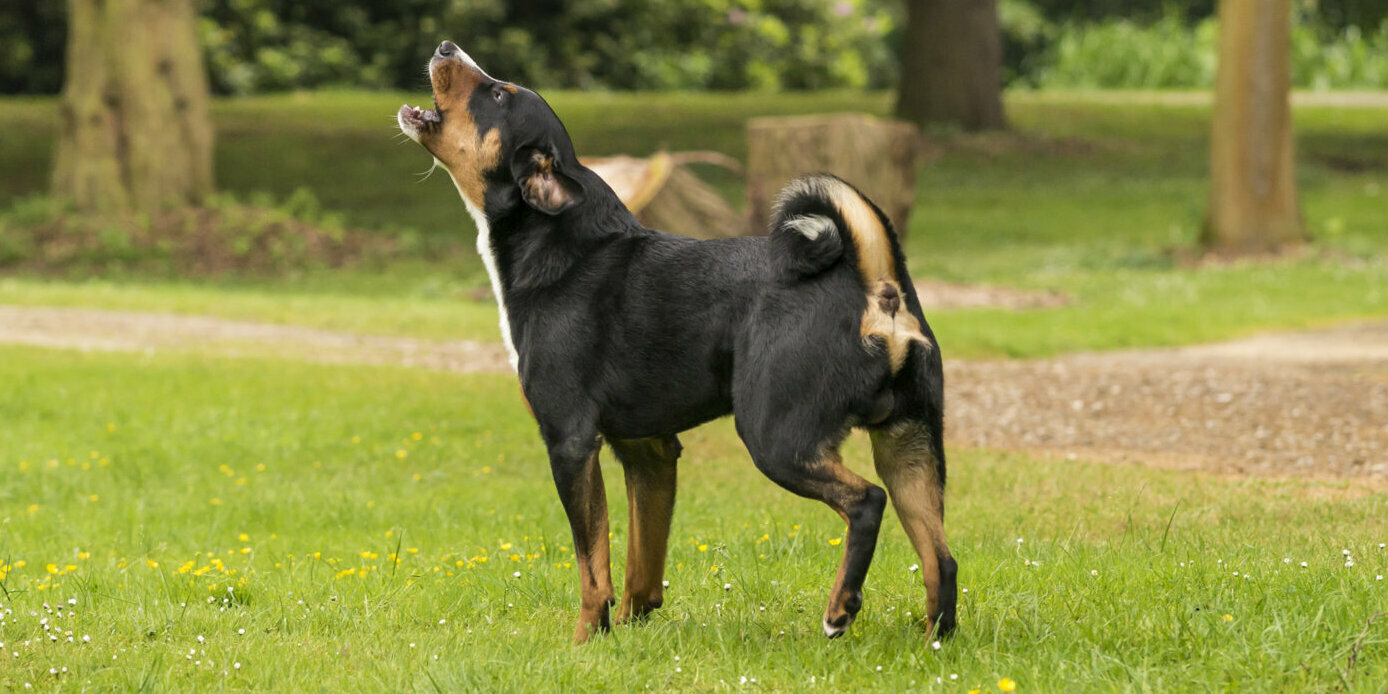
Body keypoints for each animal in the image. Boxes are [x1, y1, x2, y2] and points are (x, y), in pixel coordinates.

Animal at [394, 40, 954, 641]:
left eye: (498, 94)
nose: (446, 47)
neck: (562, 249)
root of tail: (875, 286)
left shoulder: (571, 442)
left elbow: (593, 566)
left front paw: (585, 640)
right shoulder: (649, 450)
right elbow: (642, 563)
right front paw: (630, 630)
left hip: (778, 439)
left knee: (866, 503)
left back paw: (840, 608)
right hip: (909, 451)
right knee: (941, 560)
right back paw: (933, 642)